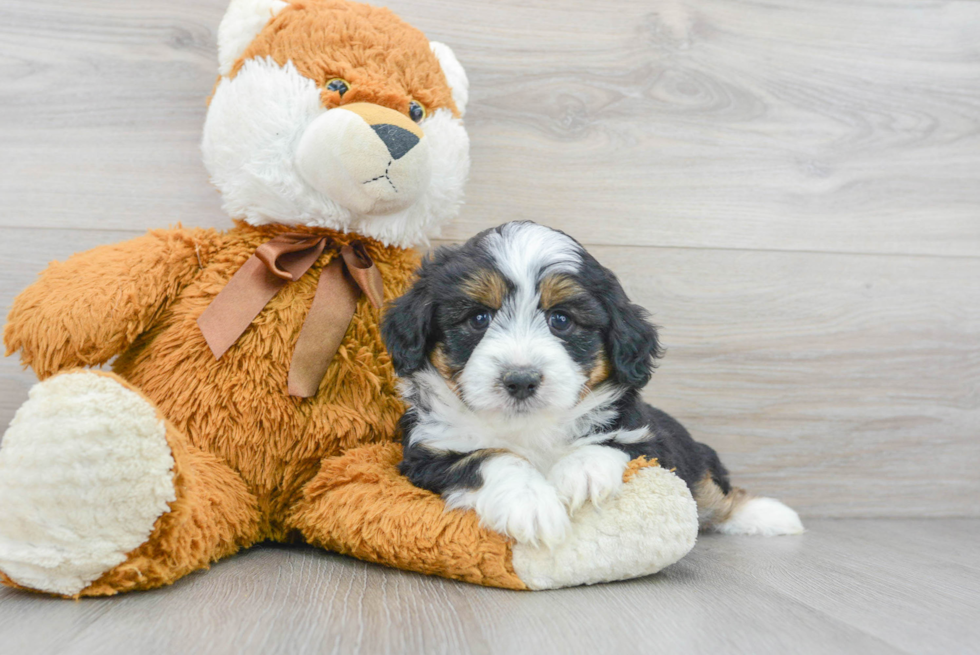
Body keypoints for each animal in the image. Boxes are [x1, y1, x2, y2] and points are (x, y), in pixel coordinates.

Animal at [378, 223, 800, 544]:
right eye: (479, 318)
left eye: (561, 320)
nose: (521, 380)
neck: (530, 427)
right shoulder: (428, 454)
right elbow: (488, 457)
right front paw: (531, 503)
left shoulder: (649, 441)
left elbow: (610, 444)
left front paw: (582, 473)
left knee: (713, 490)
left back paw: (770, 514)